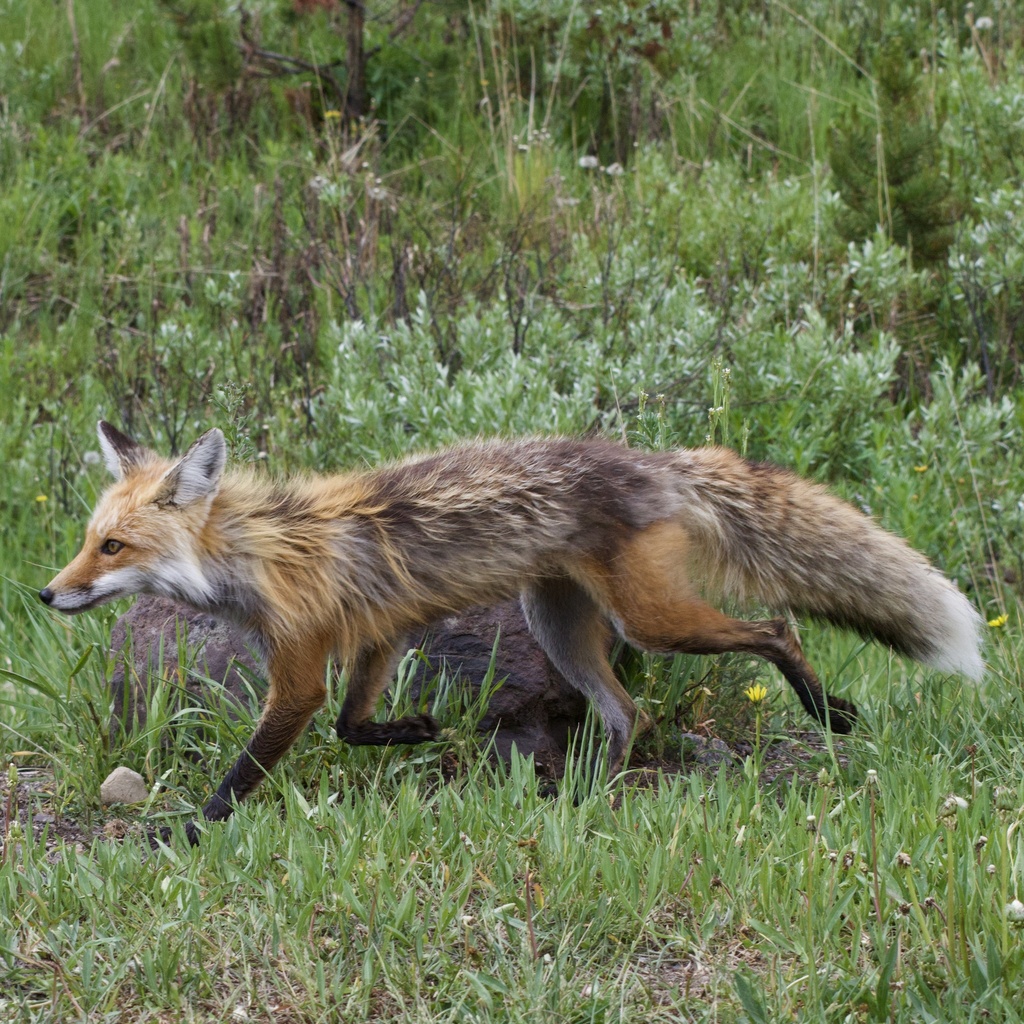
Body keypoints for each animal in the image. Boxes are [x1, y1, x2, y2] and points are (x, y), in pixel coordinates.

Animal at [41, 422, 983, 844]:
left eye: (112, 547)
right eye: (88, 539)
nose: (48, 593)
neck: (258, 551)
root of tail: (648, 459)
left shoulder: (300, 668)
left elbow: (246, 771)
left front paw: (187, 833)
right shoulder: (379, 636)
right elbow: (353, 727)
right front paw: (416, 730)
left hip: (655, 622)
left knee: (777, 625)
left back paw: (831, 713)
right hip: (560, 625)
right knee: (628, 713)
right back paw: (583, 801)